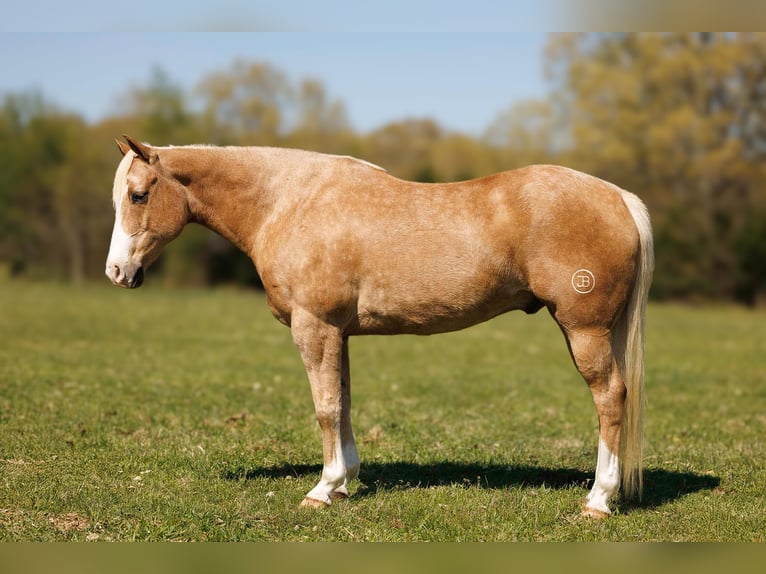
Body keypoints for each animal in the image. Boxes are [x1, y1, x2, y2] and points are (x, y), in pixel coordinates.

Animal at [106, 135, 653, 518]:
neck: (288, 202)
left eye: (138, 196)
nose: (117, 272)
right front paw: (345, 482)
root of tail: (619, 198)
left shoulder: (314, 328)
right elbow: (343, 402)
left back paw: (598, 500)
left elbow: (325, 408)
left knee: (609, 398)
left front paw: (322, 490)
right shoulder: (339, 334)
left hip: (584, 331)